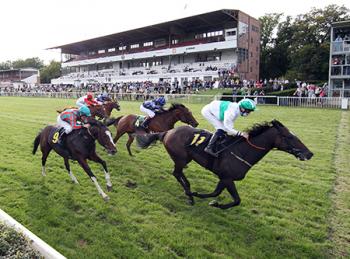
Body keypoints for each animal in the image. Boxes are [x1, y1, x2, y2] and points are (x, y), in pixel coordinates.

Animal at [137, 121, 314, 210]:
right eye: (289, 137)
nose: (309, 153)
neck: (243, 151)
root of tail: (167, 132)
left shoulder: (224, 178)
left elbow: (217, 193)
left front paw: (210, 200)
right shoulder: (228, 178)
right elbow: (236, 200)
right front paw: (213, 203)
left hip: (185, 159)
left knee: (178, 173)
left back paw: (189, 192)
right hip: (181, 158)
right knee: (176, 173)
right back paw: (188, 192)